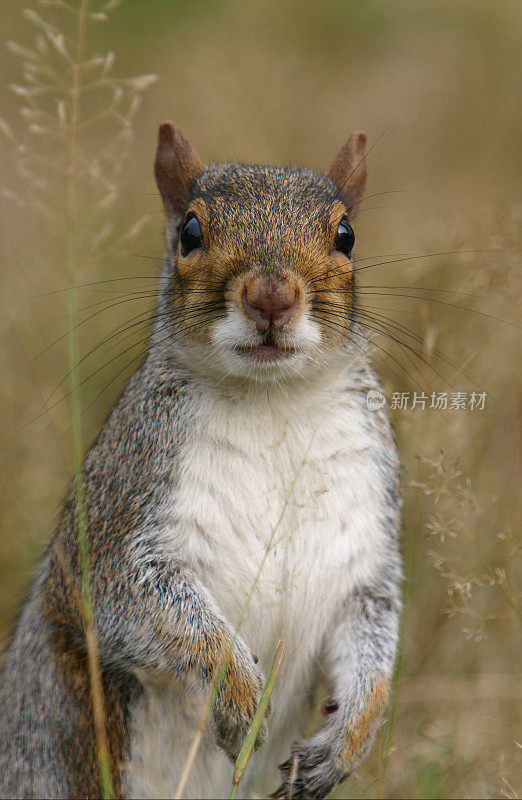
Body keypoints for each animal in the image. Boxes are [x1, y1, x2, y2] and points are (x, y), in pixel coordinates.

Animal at [0, 122, 402, 796]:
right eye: (189, 232)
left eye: (346, 235)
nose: (272, 297)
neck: (272, 402)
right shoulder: (119, 514)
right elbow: (140, 606)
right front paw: (240, 694)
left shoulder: (365, 545)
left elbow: (373, 635)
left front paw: (346, 742)